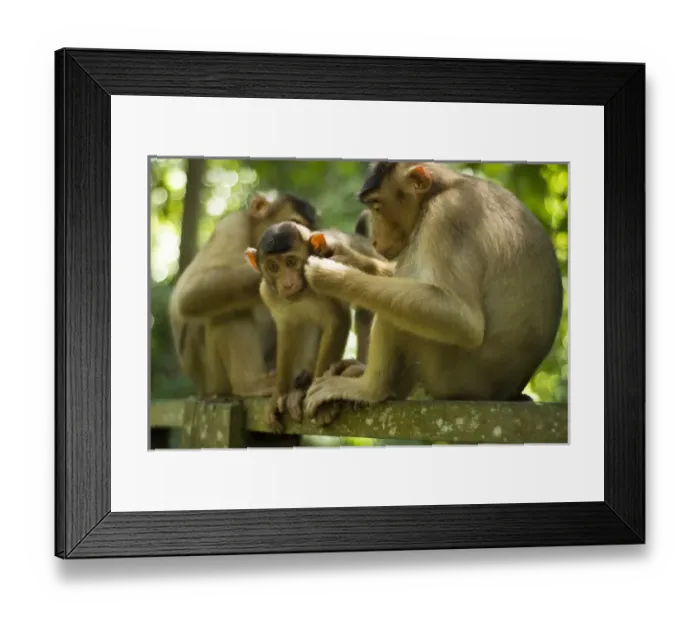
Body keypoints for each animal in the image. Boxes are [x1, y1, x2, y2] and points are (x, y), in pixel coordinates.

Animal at [168, 190, 319, 400]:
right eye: (293, 224)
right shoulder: (231, 227)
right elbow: (190, 293)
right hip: (213, 378)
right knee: (225, 310)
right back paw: (251, 385)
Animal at [244, 221, 392, 433]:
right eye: (273, 267)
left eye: (291, 262)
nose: (287, 284)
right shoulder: (269, 293)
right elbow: (286, 330)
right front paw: (280, 393)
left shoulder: (322, 277)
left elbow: (337, 321)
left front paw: (320, 400)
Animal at [299, 161, 564, 426]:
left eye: (377, 207)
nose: (374, 240)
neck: (445, 187)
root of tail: (507, 392)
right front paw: (344, 256)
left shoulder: (447, 216)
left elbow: (461, 320)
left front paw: (332, 276)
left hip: (452, 375)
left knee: (398, 314)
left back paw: (371, 389)